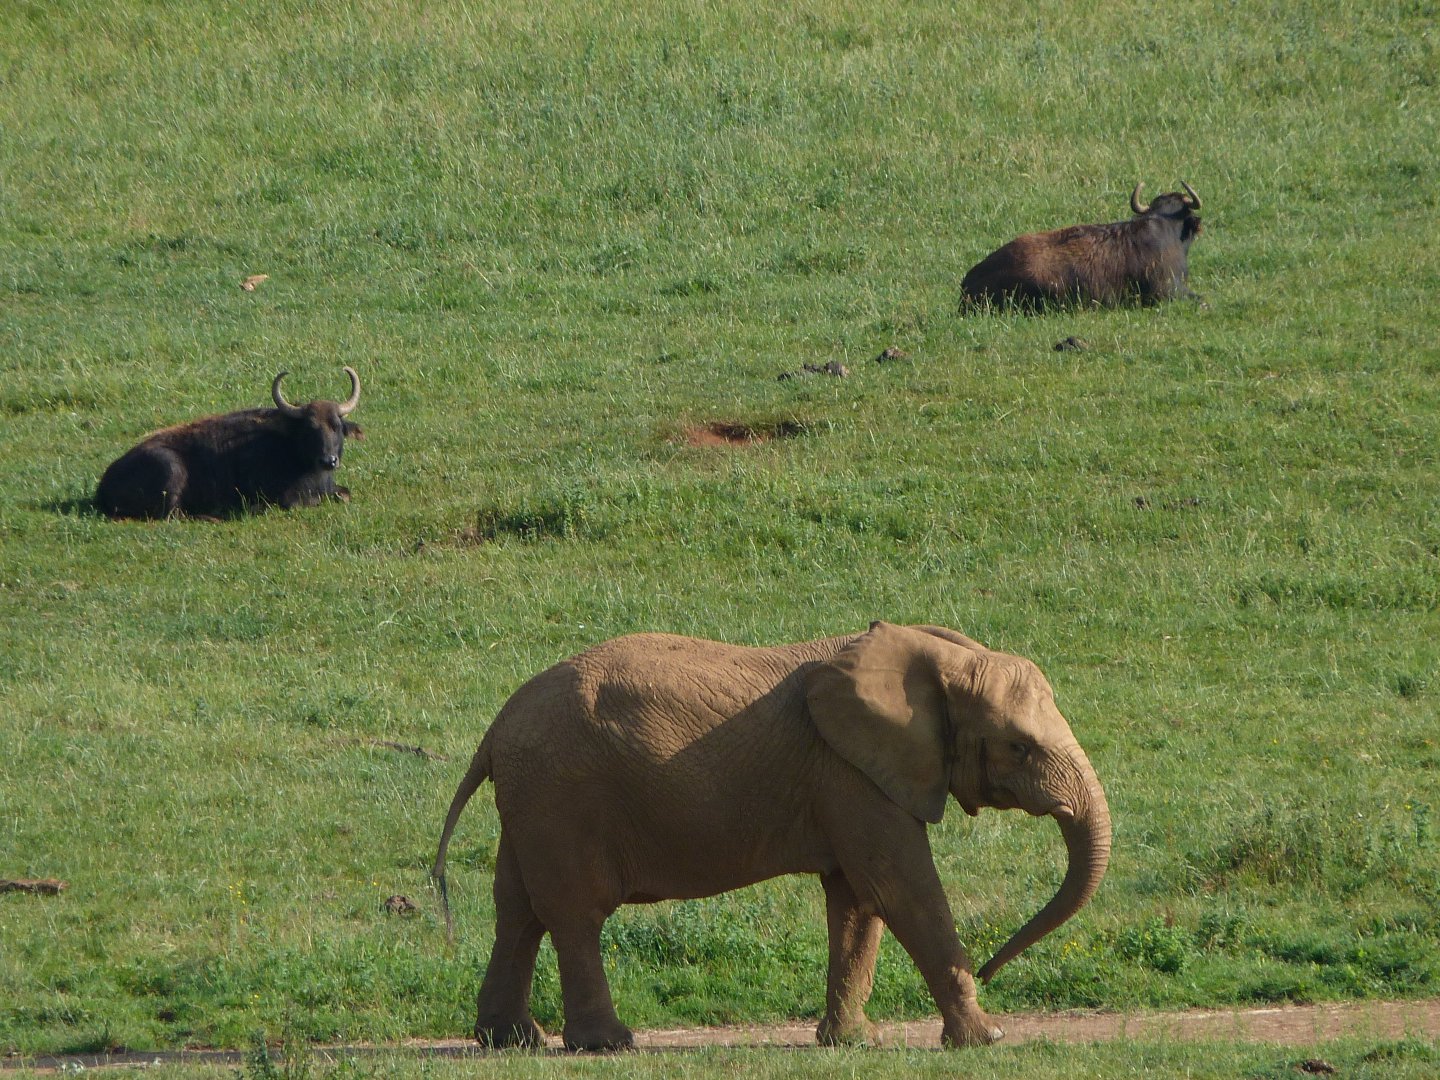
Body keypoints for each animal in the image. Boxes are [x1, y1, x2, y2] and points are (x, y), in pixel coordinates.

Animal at [432, 621, 1111, 1052]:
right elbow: (900, 888)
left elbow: (856, 900)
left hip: (533, 800)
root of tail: (494, 729)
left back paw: (510, 1041)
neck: (935, 656)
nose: (993, 970)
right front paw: (986, 1040)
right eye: (1019, 748)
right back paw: (606, 1045)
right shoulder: (850, 771)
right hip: (561, 796)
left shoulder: (851, 774)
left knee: (517, 909)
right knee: (574, 913)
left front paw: (852, 1044)